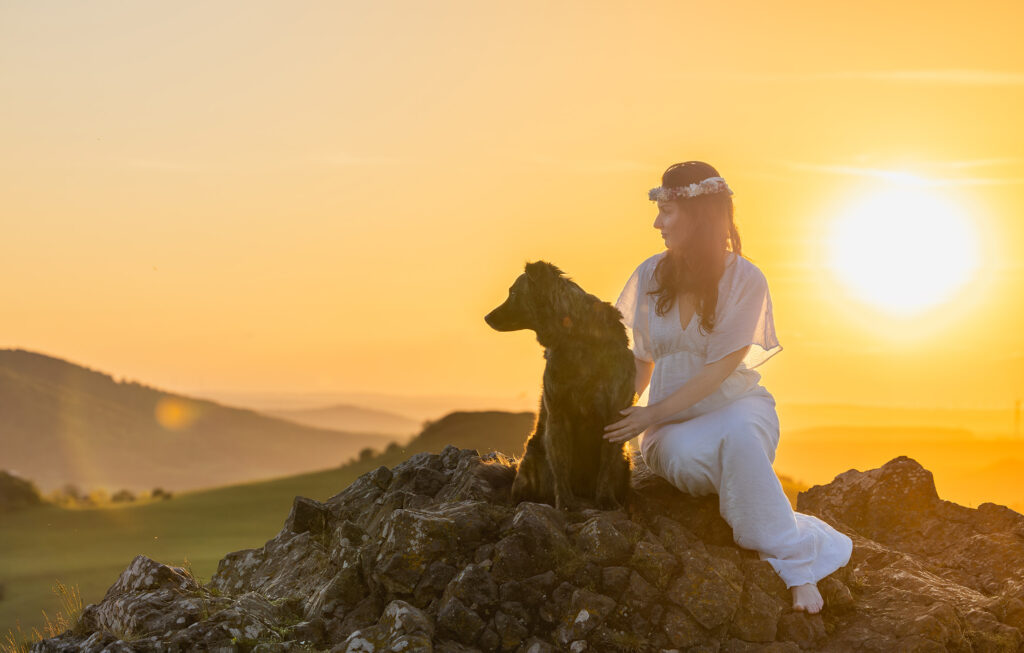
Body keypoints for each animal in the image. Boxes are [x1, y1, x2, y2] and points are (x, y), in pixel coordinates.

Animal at [483, 259, 634, 511]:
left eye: (513, 293)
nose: (487, 317)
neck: (575, 336)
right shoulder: (558, 412)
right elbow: (561, 466)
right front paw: (565, 503)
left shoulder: (614, 414)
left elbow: (605, 467)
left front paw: (605, 500)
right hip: (532, 456)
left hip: (625, 461)